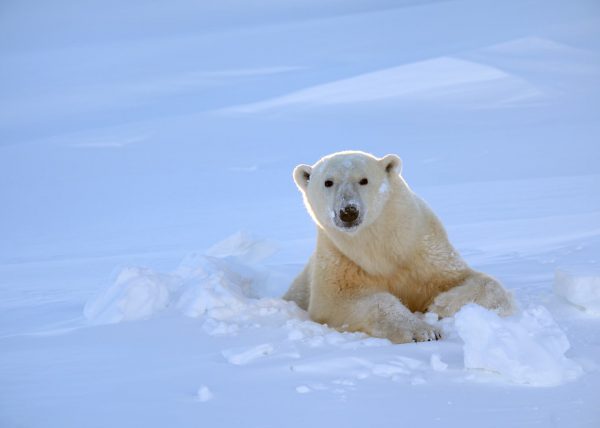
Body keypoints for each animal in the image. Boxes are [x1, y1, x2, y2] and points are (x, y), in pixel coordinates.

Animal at [284, 151, 512, 344]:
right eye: (328, 182)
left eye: (364, 180)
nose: (348, 211)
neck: (381, 247)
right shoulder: (340, 259)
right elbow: (338, 301)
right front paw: (422, 331)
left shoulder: (423, 251)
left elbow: (478, 281)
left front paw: (441, 304)